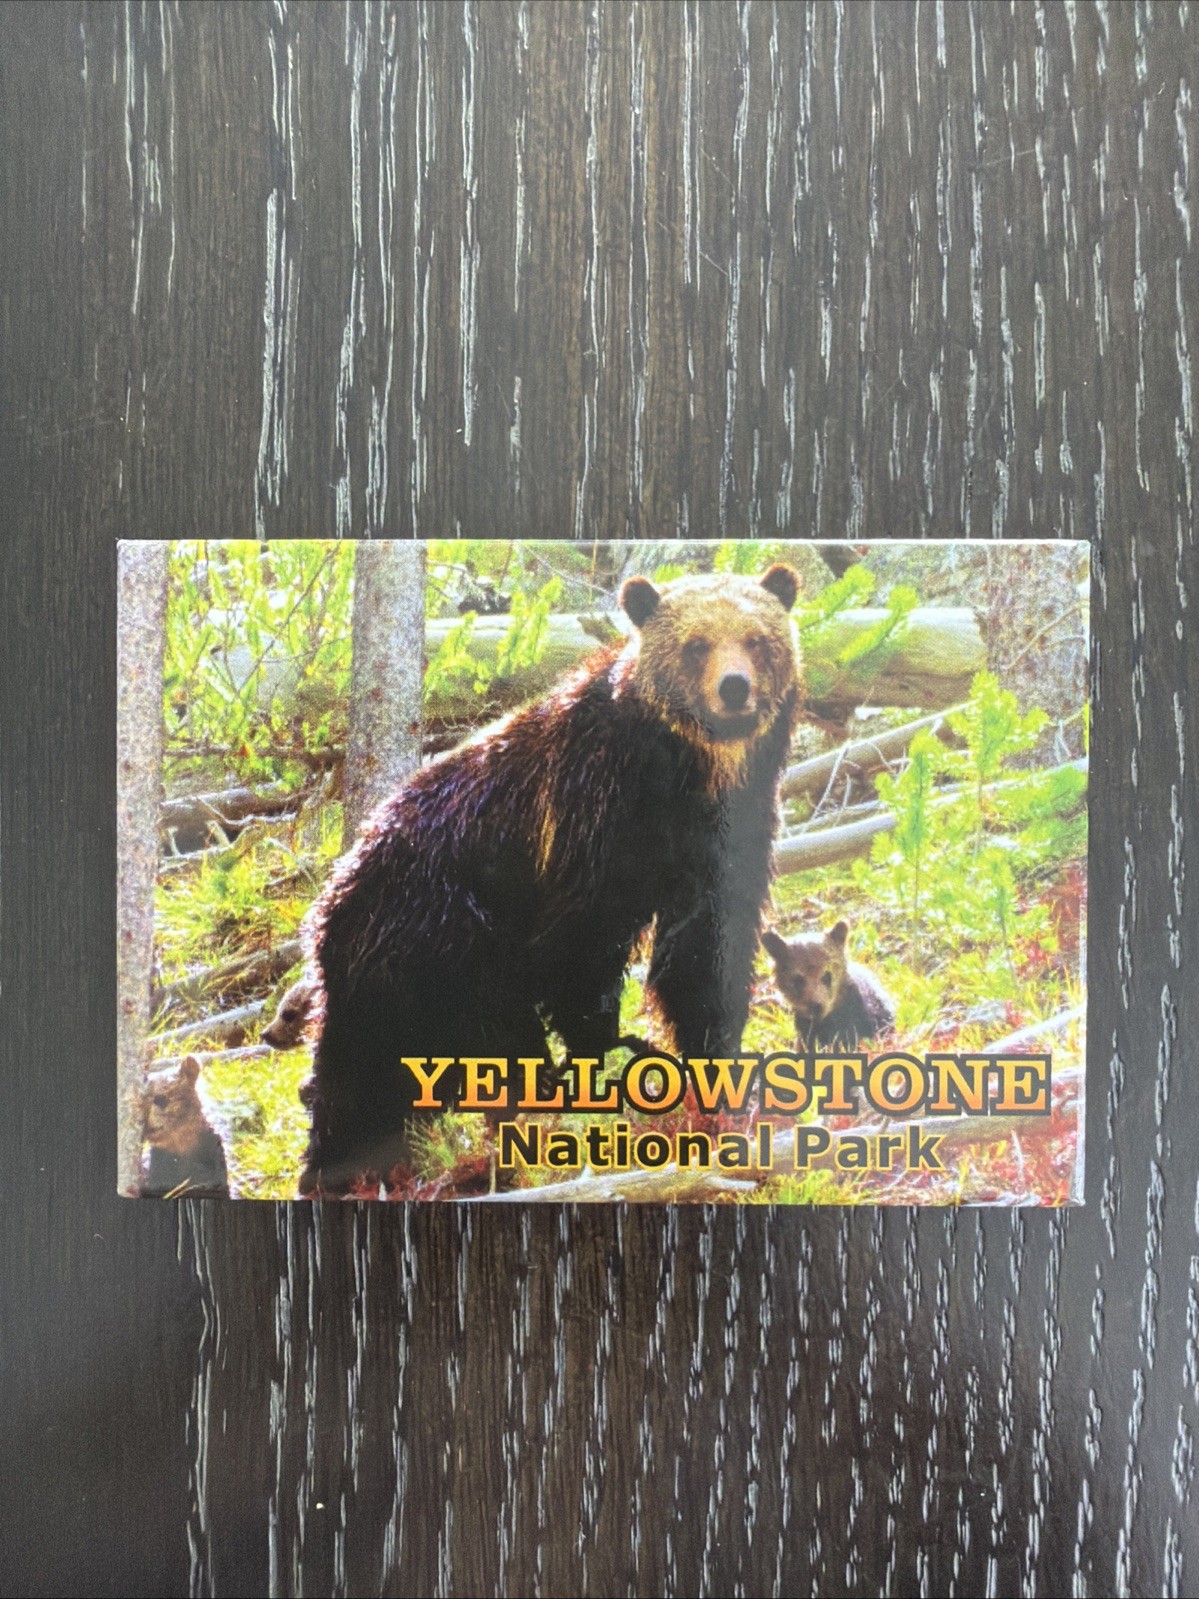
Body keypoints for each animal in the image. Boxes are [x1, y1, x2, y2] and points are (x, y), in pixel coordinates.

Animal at [300, 563, 803, 1196]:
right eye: (696, 645)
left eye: (756, 640)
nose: (734, 688)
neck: (686, 775)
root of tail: (333, 895)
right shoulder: (589, 818)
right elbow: (581, 948)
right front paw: (608, 1056)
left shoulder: (729, 835)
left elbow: (706, 952)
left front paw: (721, 1068)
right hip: (440, 926)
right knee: (487, 1025)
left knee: (360, 1070)